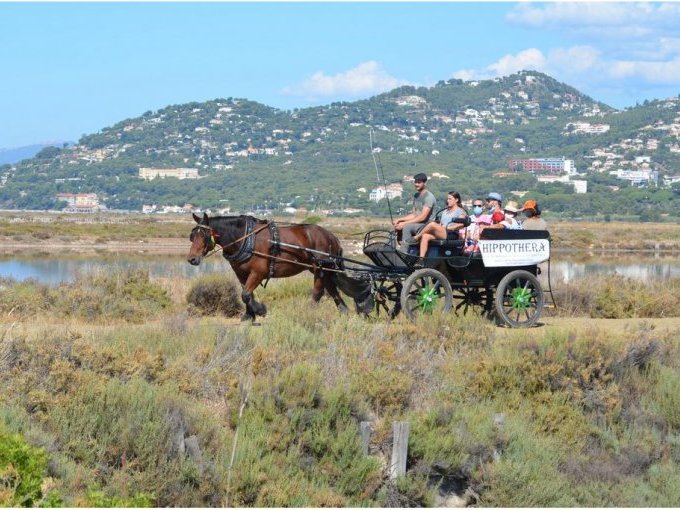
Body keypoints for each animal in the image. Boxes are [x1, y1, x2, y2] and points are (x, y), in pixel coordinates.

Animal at [186, 213, 356, 320]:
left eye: (204, 235)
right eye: (192, 236)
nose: (192, 259)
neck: (246, 238)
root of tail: (332, 237)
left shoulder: (258, 272)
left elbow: (246, 294)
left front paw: (260, 311)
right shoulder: (241, 274)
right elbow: (247, 294)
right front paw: (249, 316)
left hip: (319, 268)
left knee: (319, 291)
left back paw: (308, 312)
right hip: (323, 269)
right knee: (331, 289)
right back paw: (343, 311)